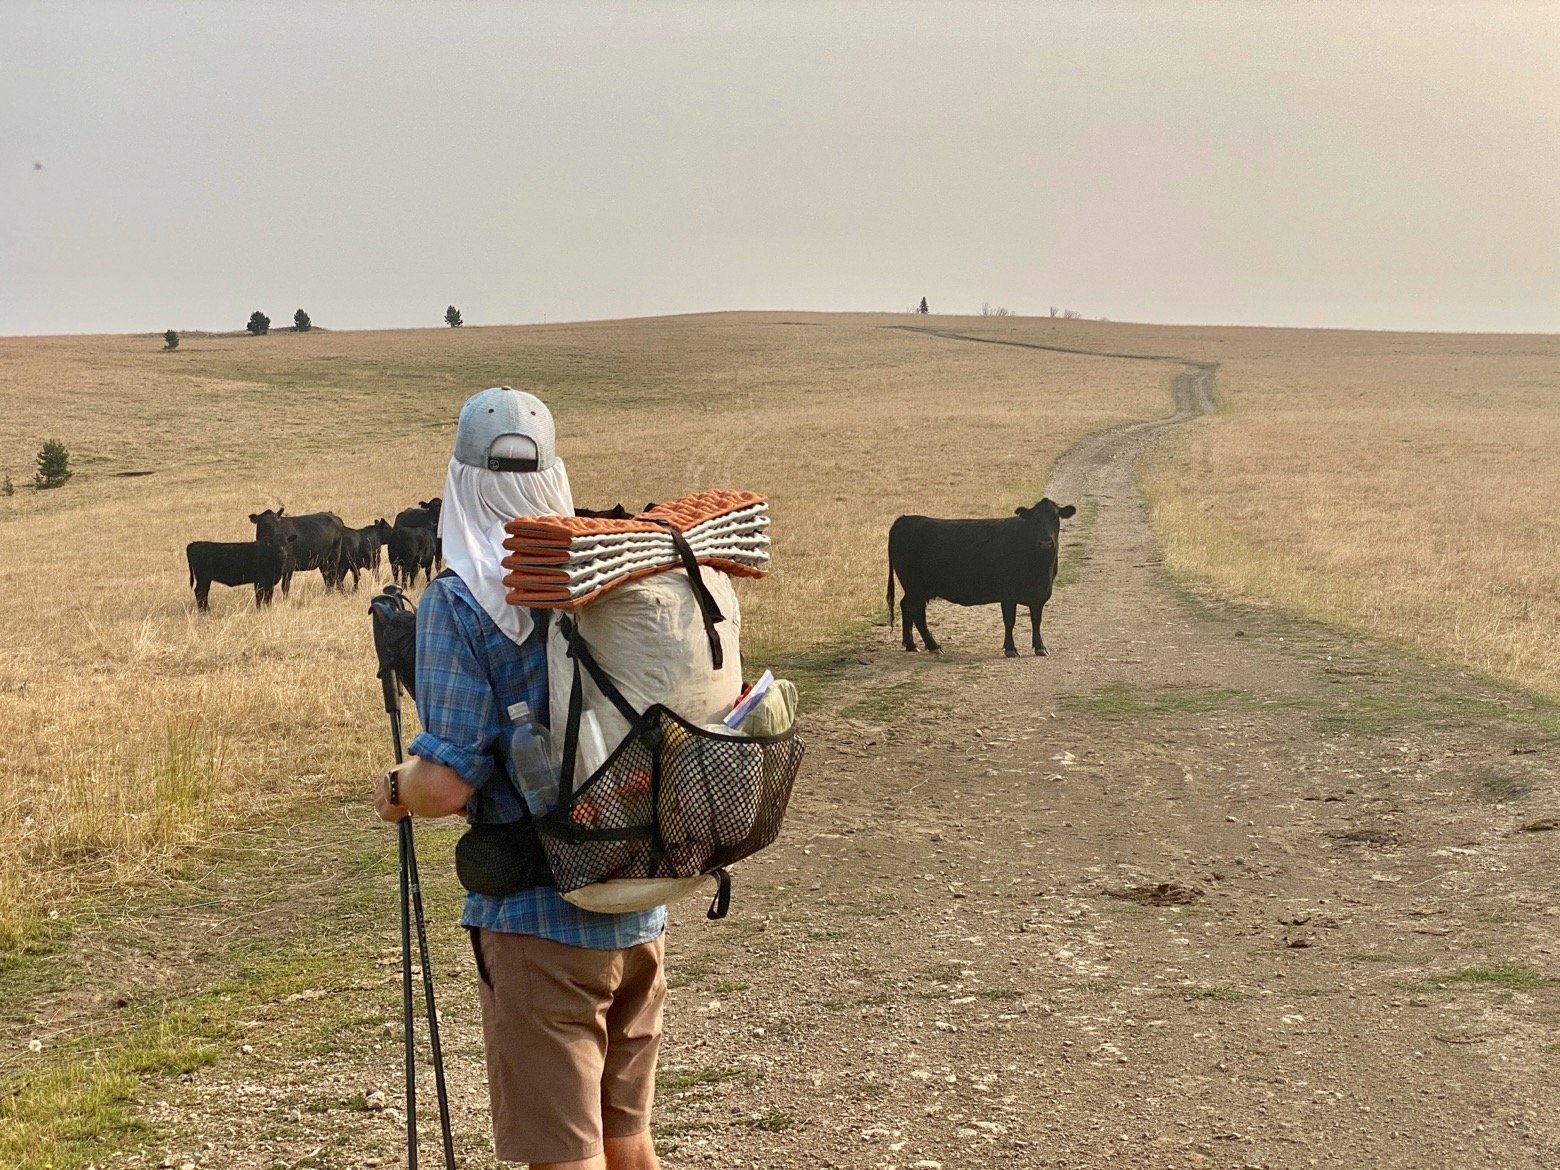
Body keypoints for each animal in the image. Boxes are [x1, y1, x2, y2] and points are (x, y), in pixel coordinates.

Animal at [892, 496, 1073, 661]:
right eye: (1035, 520)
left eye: (1055, 518)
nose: (1045, 542)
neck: (1040, 568)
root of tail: (905, 519)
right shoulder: (1008, 595)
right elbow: (1010, 621)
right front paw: (1011, 649)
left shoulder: (1040, 594)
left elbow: (1036, 621)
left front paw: (1040, 647)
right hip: (915, 588)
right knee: (916, 612)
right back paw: (933, 646)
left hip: (917, 590)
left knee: (907, 607)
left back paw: (911, 645)